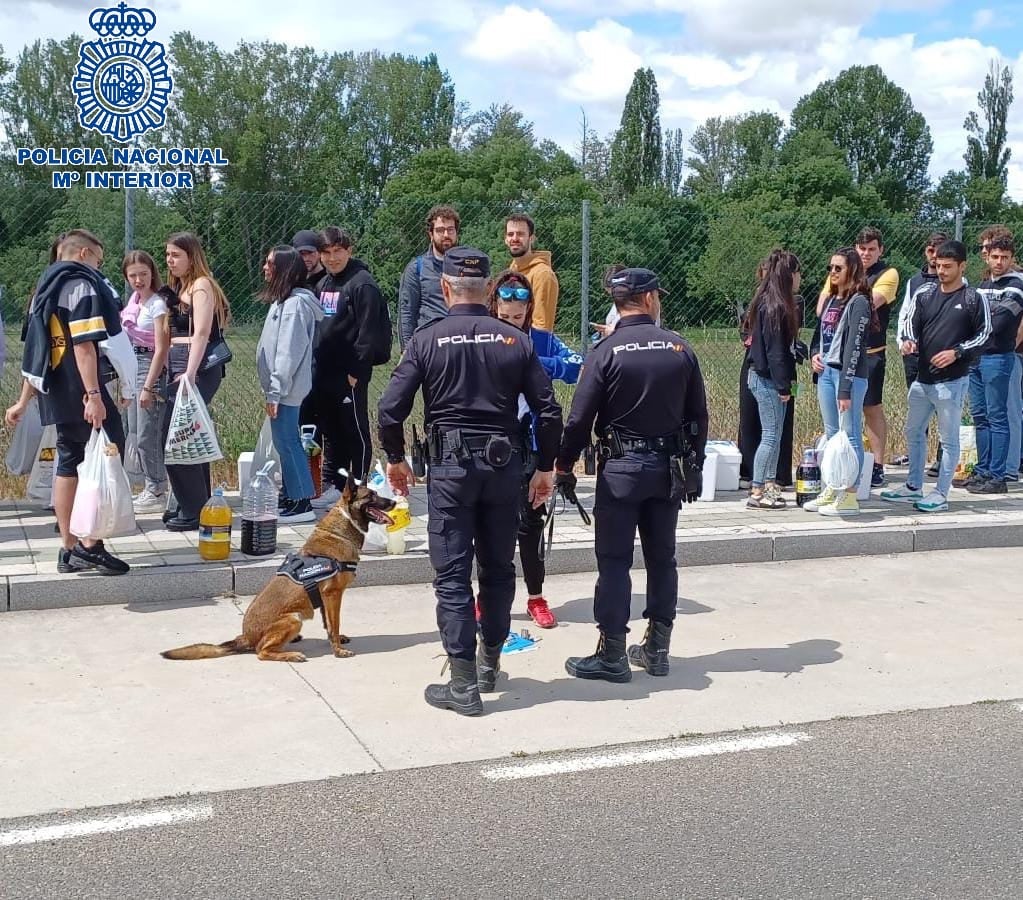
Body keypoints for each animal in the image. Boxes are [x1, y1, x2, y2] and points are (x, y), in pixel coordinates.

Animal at [162, 478, 394, 662]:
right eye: (371, 496)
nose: (394, 501)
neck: (343, 527)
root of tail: (245, 636)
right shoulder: (333, 595)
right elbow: (333, 624)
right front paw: (337, 650)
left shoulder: (326, 599)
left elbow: (328, 624)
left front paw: (336, 641)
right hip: (293, 619)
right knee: (261, 652)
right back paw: (290, 654)